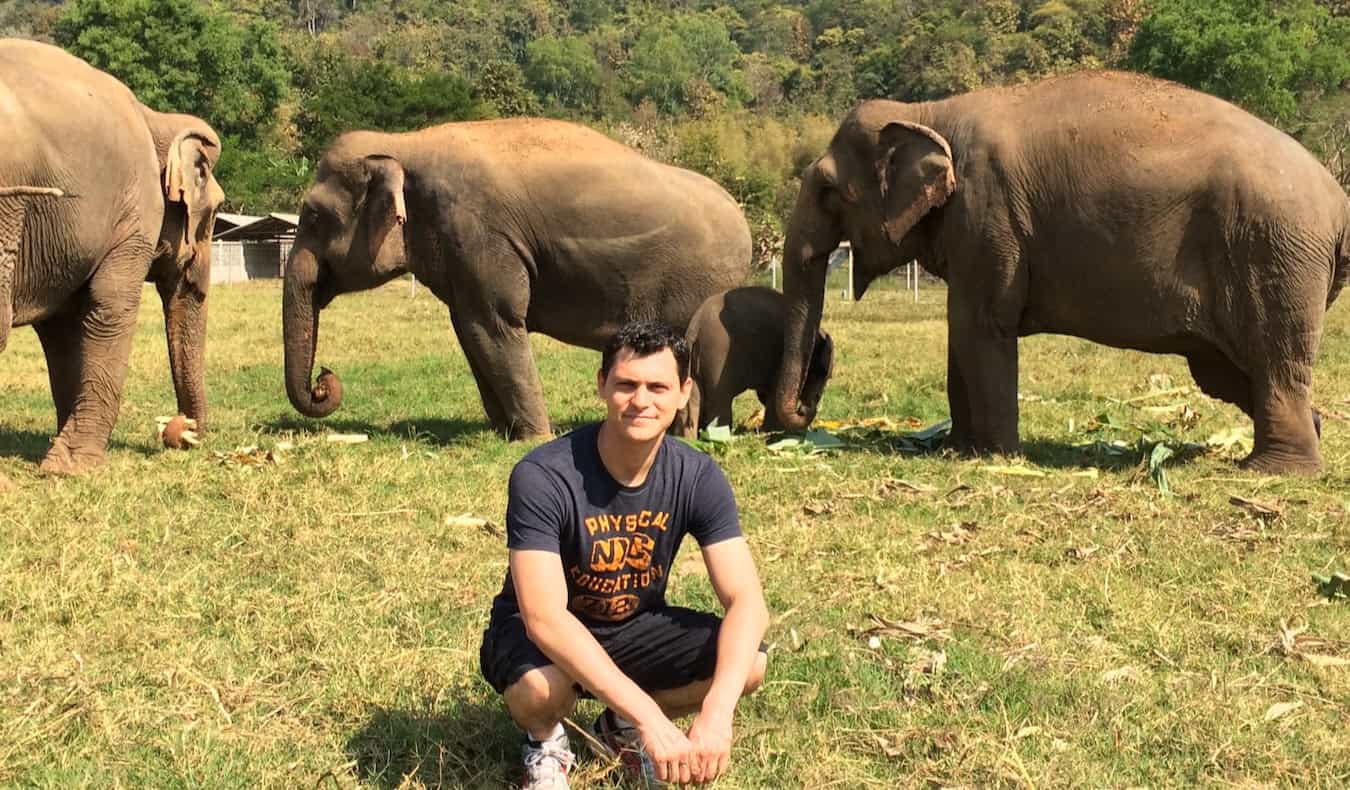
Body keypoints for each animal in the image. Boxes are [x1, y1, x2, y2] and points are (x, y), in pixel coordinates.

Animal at [1, 40, 224, 473]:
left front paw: (60, 453)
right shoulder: (134, 214)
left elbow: (63, 327)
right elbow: (110, 307)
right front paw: (71, 468)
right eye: (212, 219)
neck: (156, 118)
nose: (181, 431)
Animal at [283, 118, 752, 439]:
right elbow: (471, 331)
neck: (404, 142)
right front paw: (503, 433)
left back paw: (683, 436)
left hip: (700, 287)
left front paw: (534, 438)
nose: (324, 379)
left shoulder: (479, 234)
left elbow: (497, 324)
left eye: (314, 216)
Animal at [675, 286, 833, 438]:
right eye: (823, 374)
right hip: (717, 357)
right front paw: (775, 434)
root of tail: (695, 327)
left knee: (693, 402)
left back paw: (689, 440)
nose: (805, 408)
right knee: (720, 402)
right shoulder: (778, 358)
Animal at [774, 70, 1350, 474]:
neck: (929, 112)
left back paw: (1273, 471)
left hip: (1274, 254)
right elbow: (961, 332)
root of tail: (1338, 200)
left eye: (828, 191)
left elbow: (980, 325)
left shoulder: (989, 215)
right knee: (1230, 370)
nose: (806, 405)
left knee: (1274, 362)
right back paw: (1309, 434)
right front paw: (958, 450)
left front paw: (995, 458)